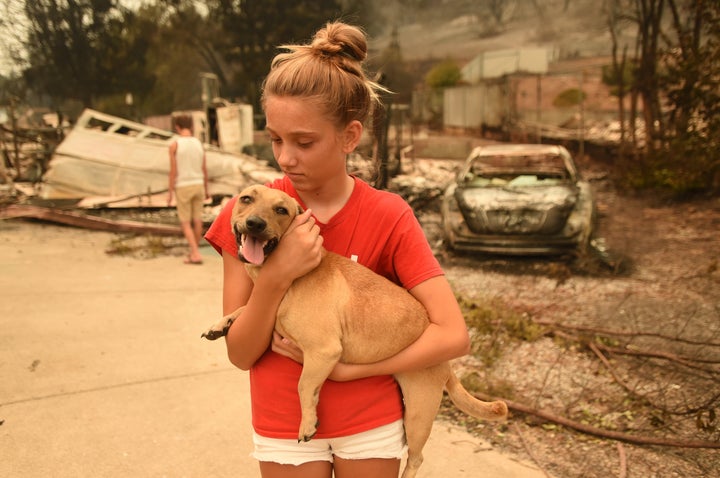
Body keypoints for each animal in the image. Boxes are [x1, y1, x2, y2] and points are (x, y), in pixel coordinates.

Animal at [201, 184, 506, 478]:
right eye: (246, 199)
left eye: (281, 210)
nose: (254, 224)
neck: (288, 280)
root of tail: (448, 366)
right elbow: (244, 308)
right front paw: (222, 323)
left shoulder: (323, 351)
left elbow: (303, 385)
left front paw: (307, 423)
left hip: (418, 414)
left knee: (417, 457)